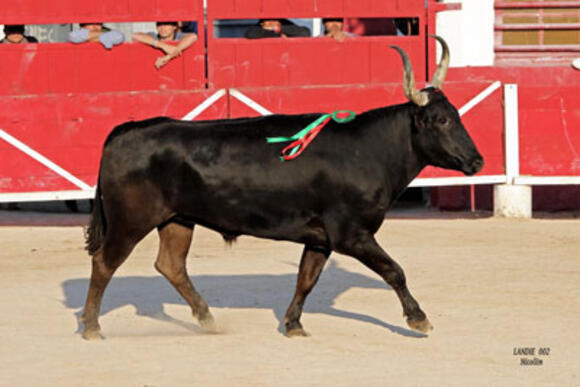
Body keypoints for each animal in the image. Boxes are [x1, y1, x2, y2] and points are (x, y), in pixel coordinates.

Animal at [79, 36, 482, 340]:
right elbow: (393, 270)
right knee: (104, 263)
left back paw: (208, 319)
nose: (477, 162)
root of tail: (127, 130)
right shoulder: (352, 234)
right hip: (131, 222)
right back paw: (93, 327)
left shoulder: (320, 239)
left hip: (177, 219)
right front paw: (419, 318)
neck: (369, 150)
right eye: (440, 120)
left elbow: (306, 279)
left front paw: (293, 325)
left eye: (458, 115)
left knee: (171, 265)